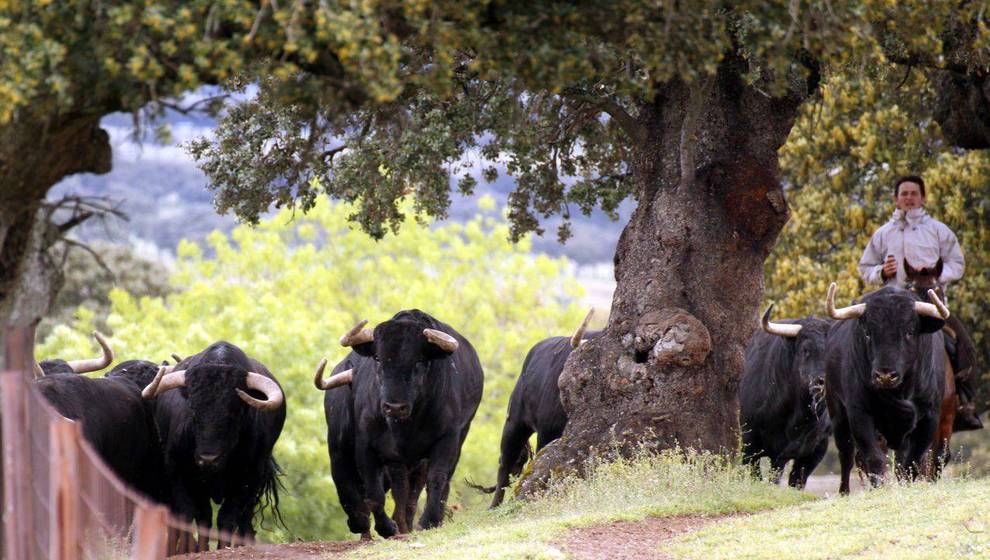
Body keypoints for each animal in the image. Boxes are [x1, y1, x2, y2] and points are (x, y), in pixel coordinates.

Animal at [316, 310, 482, 540]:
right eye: (378, 358)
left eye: (420, 360)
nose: (394, 407)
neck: (406, 427)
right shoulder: (365, 449)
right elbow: (372, 492)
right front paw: (386, 527)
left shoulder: (448, 439)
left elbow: (436, 479)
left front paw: (428, 521)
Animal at [824, 284, 948, 494]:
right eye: (868, 333)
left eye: (909, 332)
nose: (885, 375)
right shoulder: (859, 414)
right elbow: (873, 458)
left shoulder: (930, 416)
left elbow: (912, 460)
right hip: (837, 413)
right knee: (846, 456)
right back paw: (844, 492)